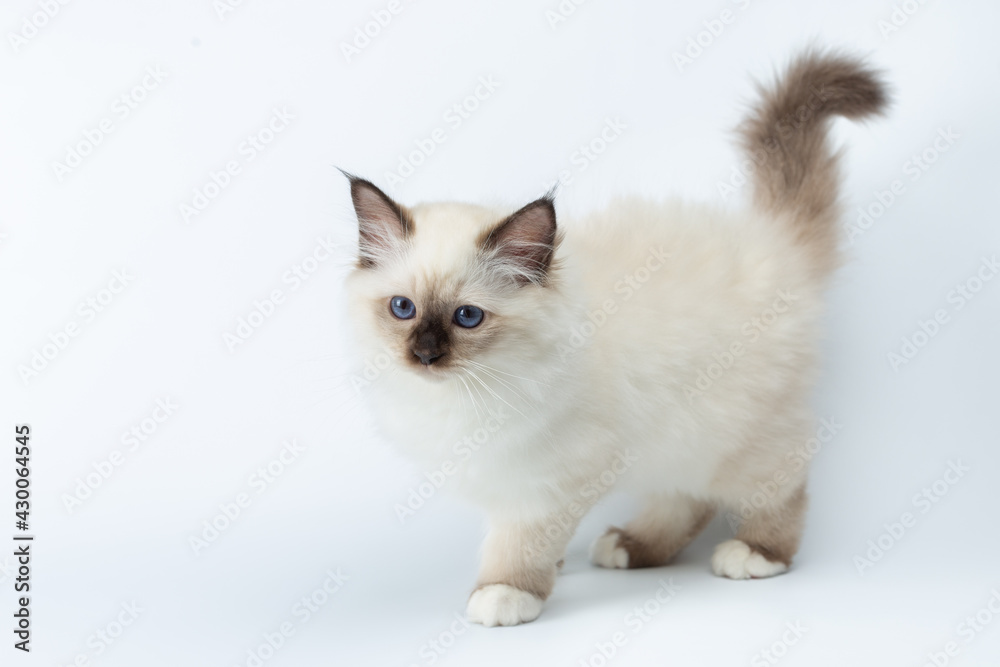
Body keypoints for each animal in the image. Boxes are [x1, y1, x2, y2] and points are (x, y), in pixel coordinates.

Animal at [342, 51, 884, 628]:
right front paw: (555, 569)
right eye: (403, 308)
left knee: (783, 483)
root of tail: (772, 239)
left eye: (467, 317)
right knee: (687, 500)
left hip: (732, 435)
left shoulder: (544, 484)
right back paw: (632, 546)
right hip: (677, 438)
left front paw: (505, 594)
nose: (424, 354)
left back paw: (756, 553)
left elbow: (517, 546)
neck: (458, 397)